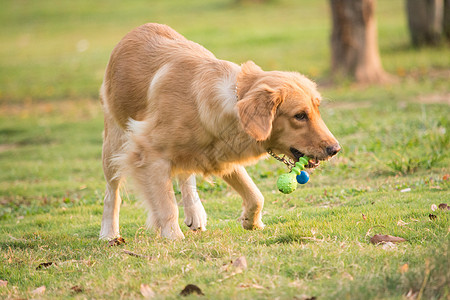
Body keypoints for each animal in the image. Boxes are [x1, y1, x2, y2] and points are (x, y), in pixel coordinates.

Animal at [97, 22, 338, 240]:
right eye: (300, 116)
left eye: (317, 109)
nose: (335, 149)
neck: (233, 100)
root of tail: (135, 31)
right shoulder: (148, 153)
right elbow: (167, 204)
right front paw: (172, 236)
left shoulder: (221, 155)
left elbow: (256, 196)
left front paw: (251, 221)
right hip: (113, 144)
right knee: (111, 192)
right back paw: (109, 233)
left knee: (185, 174)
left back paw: (195, 212)